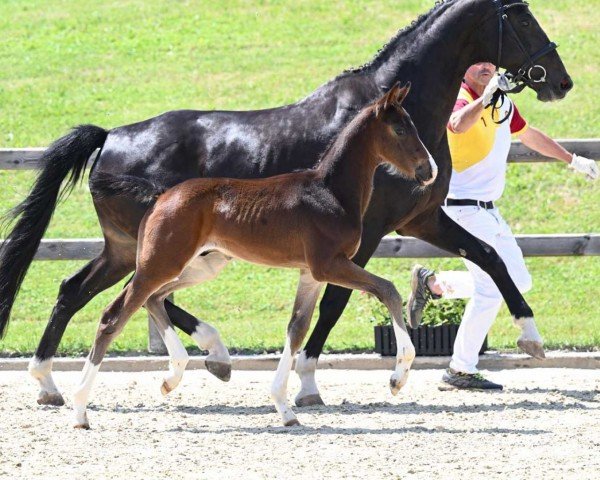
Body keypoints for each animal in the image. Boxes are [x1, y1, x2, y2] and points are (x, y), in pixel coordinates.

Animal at [75, 83, 436, 428]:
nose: (429, 170)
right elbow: (387, 289)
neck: (331, 192)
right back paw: (80, 410)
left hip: (201, 265)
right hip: (160, 262)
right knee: (114, 315)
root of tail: (160, 196)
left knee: (153, 299)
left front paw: (284, 409)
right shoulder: (329, 265)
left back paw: (173, 377)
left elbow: (296, 328)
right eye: (400, 129)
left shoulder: (310, 273)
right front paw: (397, 378)